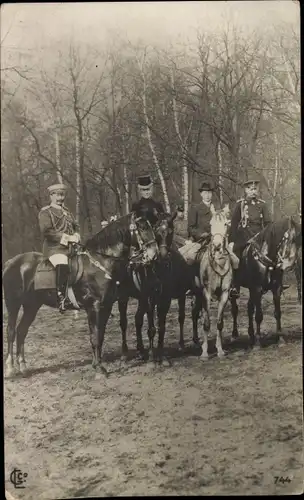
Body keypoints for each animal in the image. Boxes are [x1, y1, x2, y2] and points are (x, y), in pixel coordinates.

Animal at [3, 212, 158, 378]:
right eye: (143, 227)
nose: (154, 254)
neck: (100, 261)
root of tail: (11, 262)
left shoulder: (106, 307)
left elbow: (99, 336)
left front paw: (96, 364)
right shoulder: (94, 307)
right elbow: (95, 337)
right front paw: (99, 368)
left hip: (32, 306)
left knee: (22, 331)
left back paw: (23, 366)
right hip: (13, 305)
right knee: (11, 331)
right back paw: (10, 368)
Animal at [232, 215, 298, 348]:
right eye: (288, 239)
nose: (290, 265)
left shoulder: (276, 288)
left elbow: (277, 313)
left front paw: (280, 338)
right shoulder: (257, 289)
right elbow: (259, 316)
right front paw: (258, 342)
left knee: (249, 308)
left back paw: (251, 335)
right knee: (234, 309)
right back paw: (235, 335)